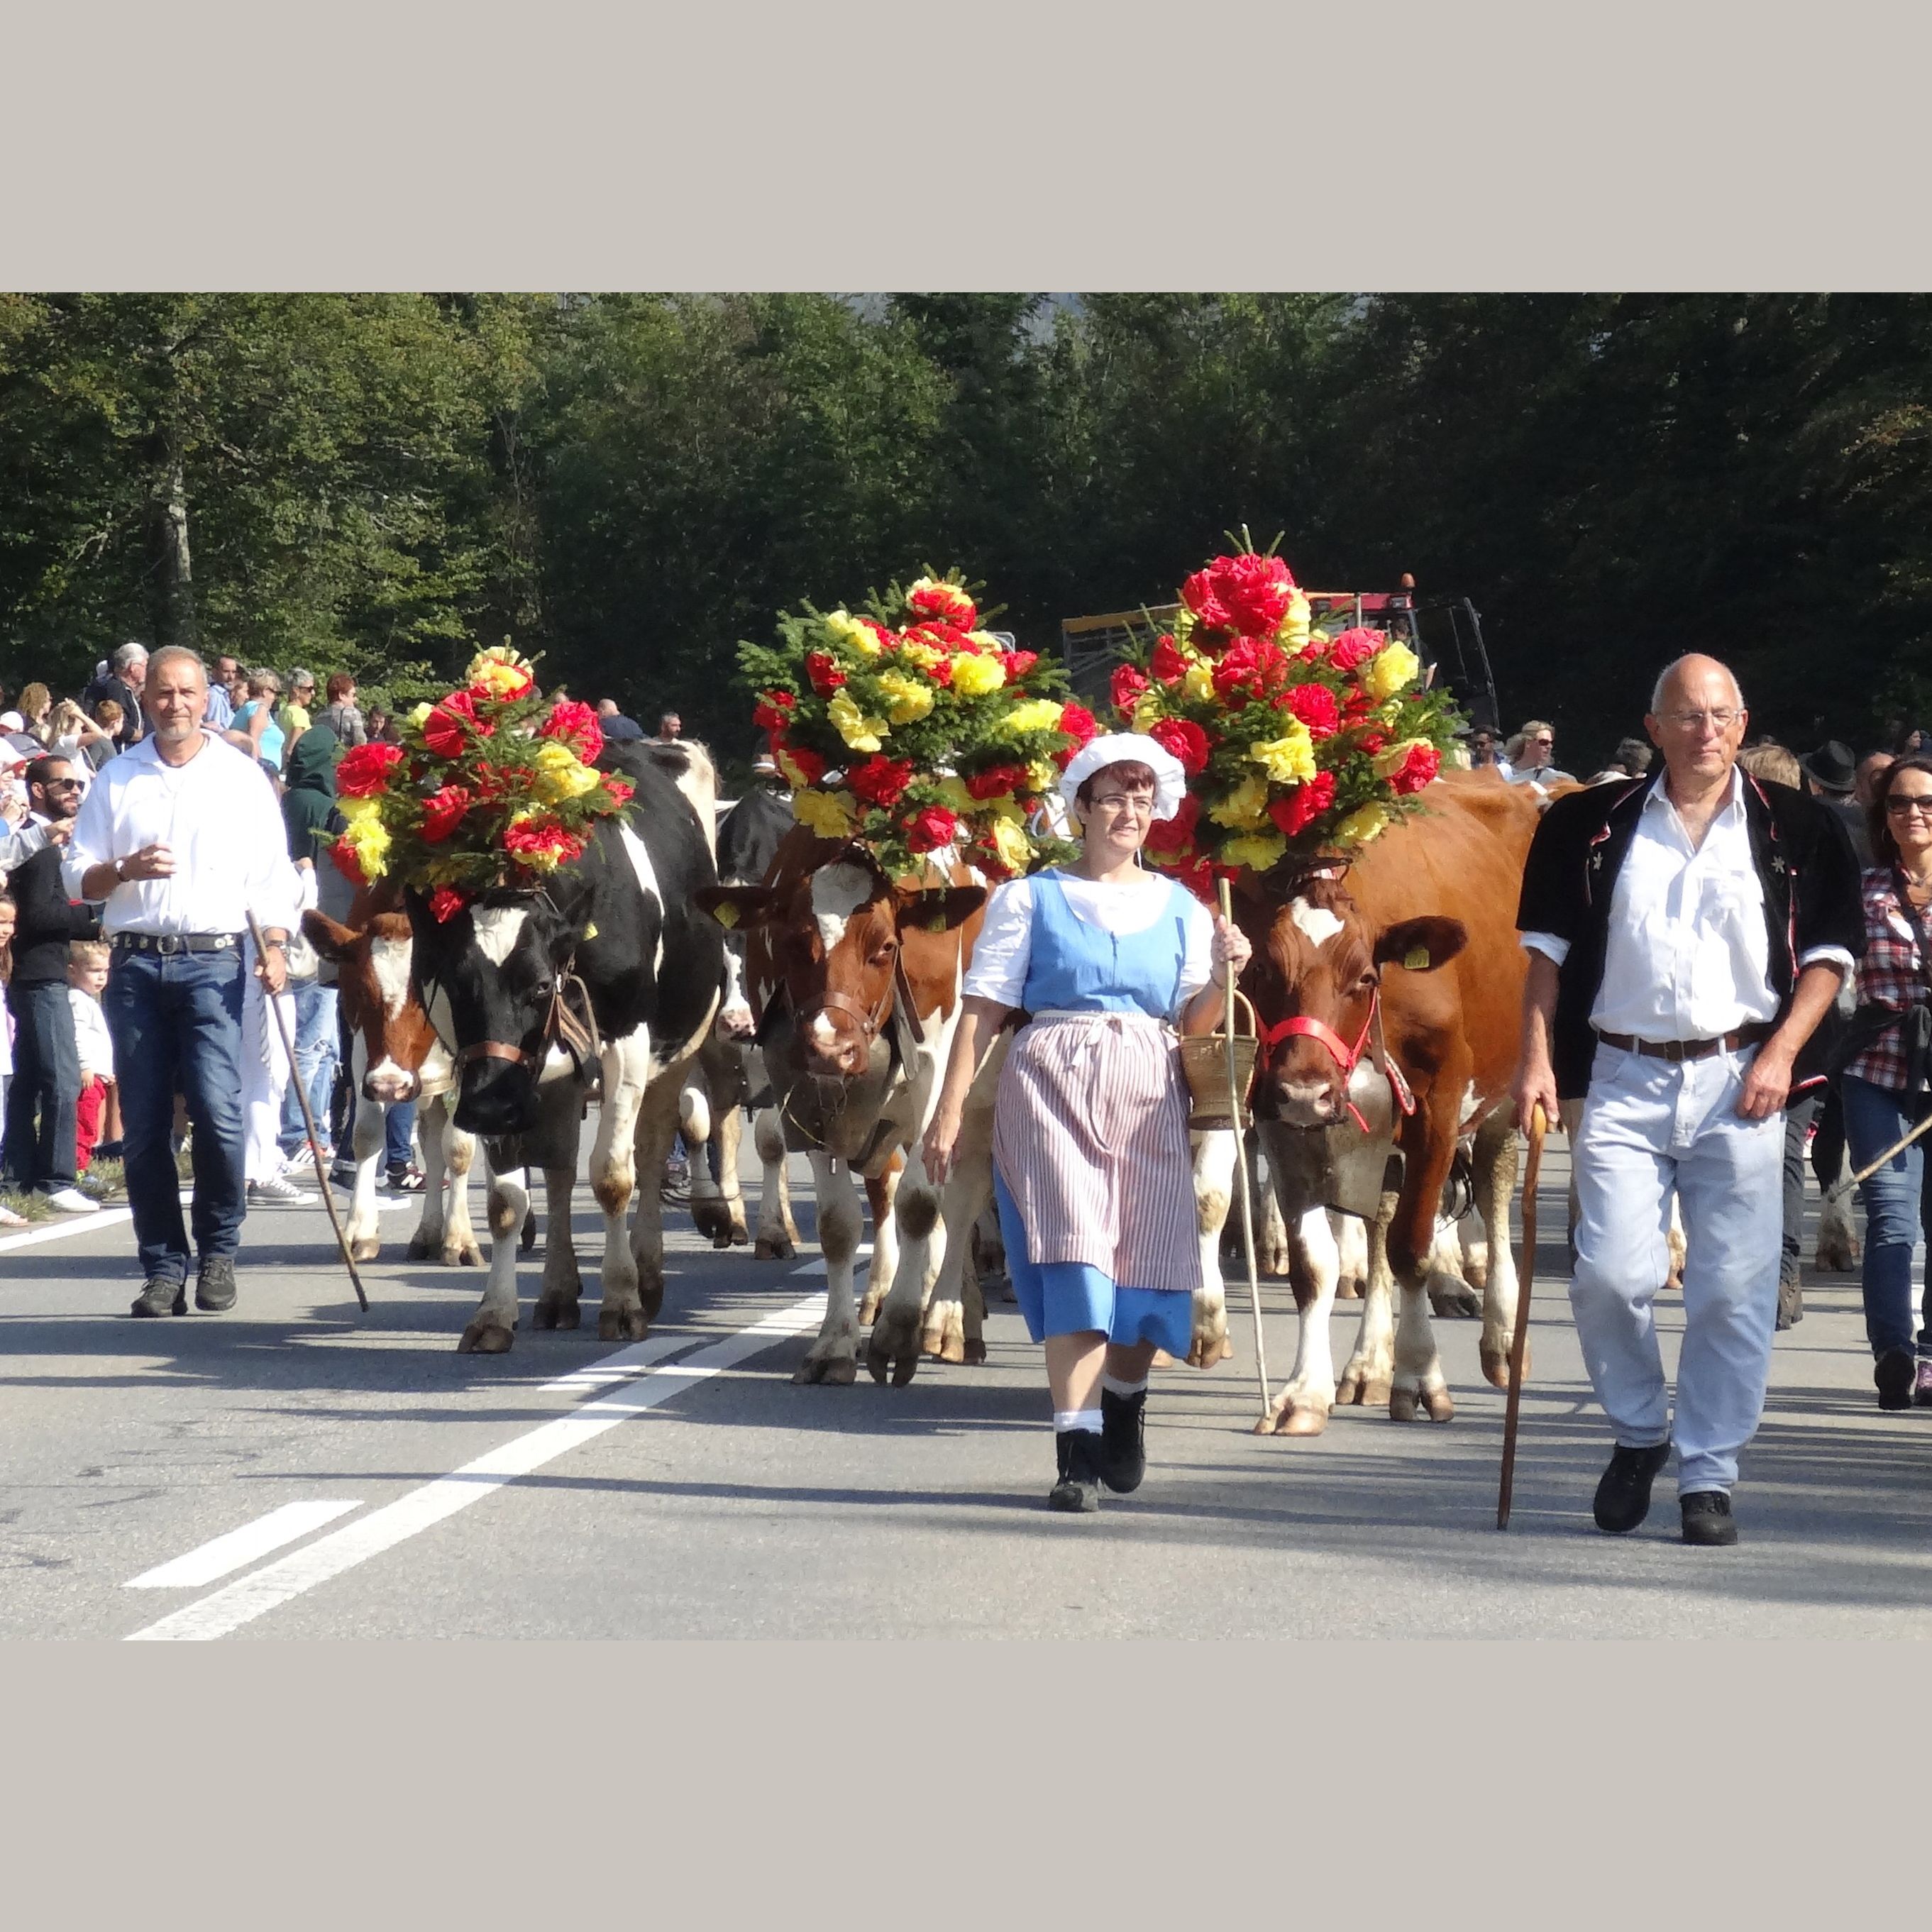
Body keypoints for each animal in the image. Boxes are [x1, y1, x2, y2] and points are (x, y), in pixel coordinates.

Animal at [409, 746, 726, 1352]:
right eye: (458, 983)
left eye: (538, 985)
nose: (486, 1108)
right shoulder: (496, 1073)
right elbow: (507, 1203)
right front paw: (493, 1313)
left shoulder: (627, 1042)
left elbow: (612, 1176)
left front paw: (623, 1301)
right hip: (552, 1079)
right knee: (558, 1168)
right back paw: (557, 1292)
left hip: (677, 1050)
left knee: (651, 1152)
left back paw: (647, 1274)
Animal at [695, 830, 997, 1391]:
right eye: (793, 943)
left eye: (886, 946)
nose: (830, 1046)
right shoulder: (807, 1096)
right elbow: (838, 1224)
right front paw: (834, 1345)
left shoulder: (937, 1070)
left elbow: (920, 1204)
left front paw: (898, 1332)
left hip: (983, 1097)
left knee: (964, 1194)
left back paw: (946, 1319)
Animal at [1198, 768, 1545, 1437]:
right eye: (1262, 972)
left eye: (1364, 977)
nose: (1305, 1089)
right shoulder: (1282, 1121)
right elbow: (1316, 1264)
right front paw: (1304, 1391)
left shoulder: (1438, 1109)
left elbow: (1412, 1246)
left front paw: (1421, 1377)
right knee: (1381, 1216)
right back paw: (1367, 1363)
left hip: (1505, 1085)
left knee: (1494, 1186)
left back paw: (1499, 1338)